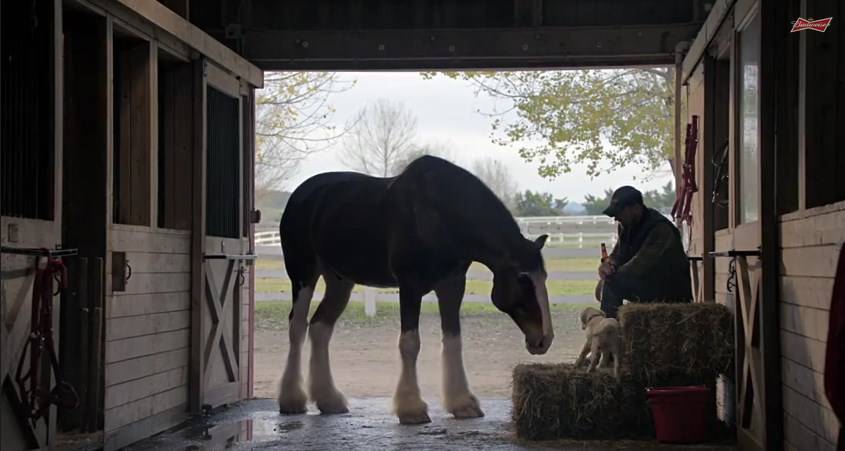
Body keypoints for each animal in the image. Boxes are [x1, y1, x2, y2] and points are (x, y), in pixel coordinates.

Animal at [278, 155, 552, 424]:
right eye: (522, 278)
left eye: (544, 277)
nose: (544, 339)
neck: (441, 214)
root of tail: (300, 195)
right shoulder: (410, 285)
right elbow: (410, 343)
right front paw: (411, 409)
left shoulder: (452, 285)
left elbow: (453, 340)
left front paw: (462, 403)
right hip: (303, 275)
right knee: (297, 327)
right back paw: (292, 400)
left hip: (339, 281)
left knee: (320, 328)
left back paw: (329, 400)